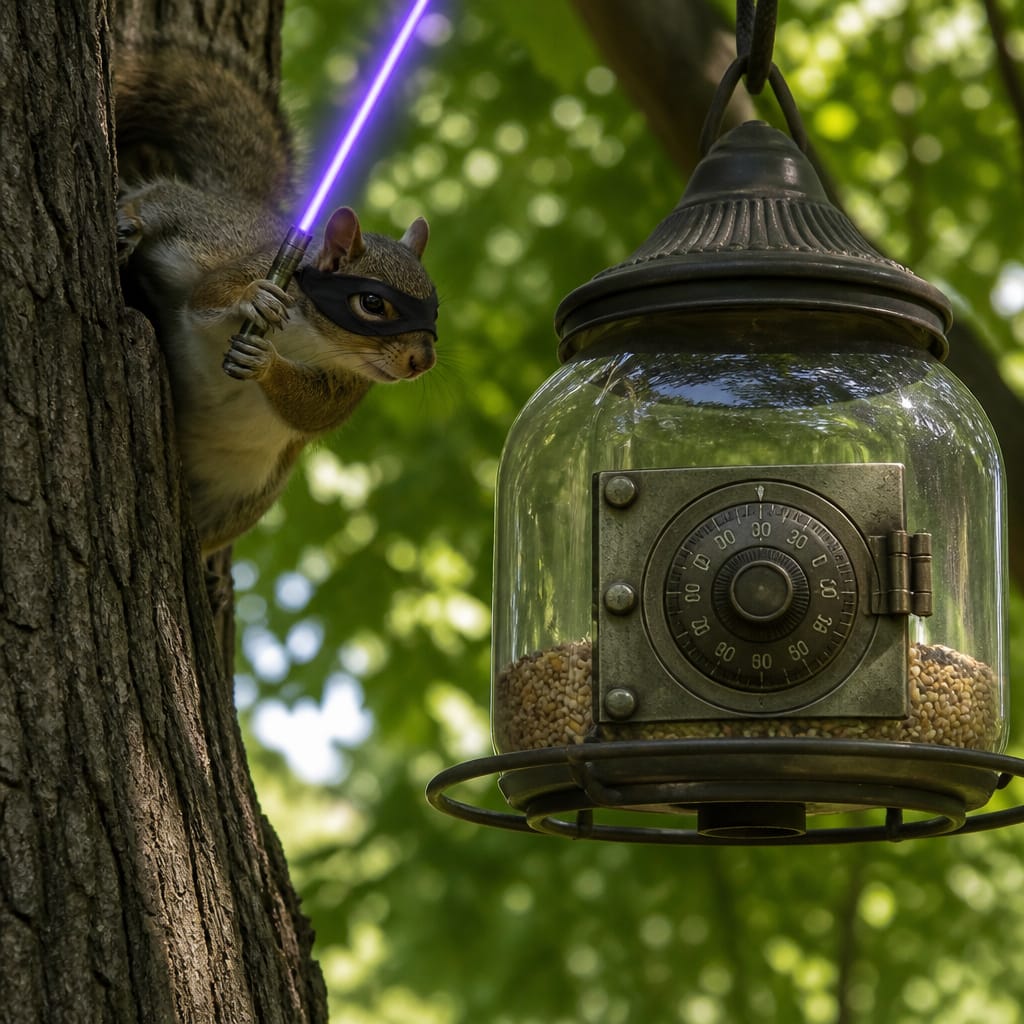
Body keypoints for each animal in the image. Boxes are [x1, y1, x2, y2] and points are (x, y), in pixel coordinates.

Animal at [113, 45, 438, 556]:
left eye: (435, 309)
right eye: (371, 304)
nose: (422, 361)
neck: (310, 334)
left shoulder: (350, 388)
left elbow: (311, 409)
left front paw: (265, 363)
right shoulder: (248, 266)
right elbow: (208, 295)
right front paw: (253, 299)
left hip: (241, 501)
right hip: (200, 226)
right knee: (160, 199)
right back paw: (129, 220)